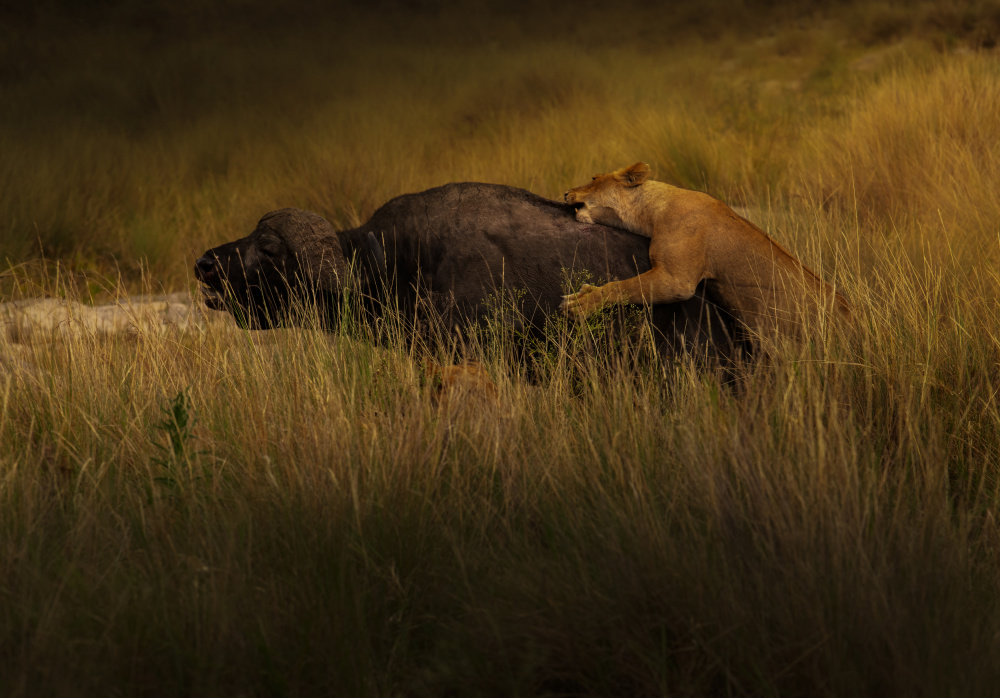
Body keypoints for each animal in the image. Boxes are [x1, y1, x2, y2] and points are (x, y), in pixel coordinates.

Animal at [562, 162, 851, 343]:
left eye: (594, 179)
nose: (565, 192)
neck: (654, 208)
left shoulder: (676, 280)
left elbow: (623, 287)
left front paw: (582, 302)